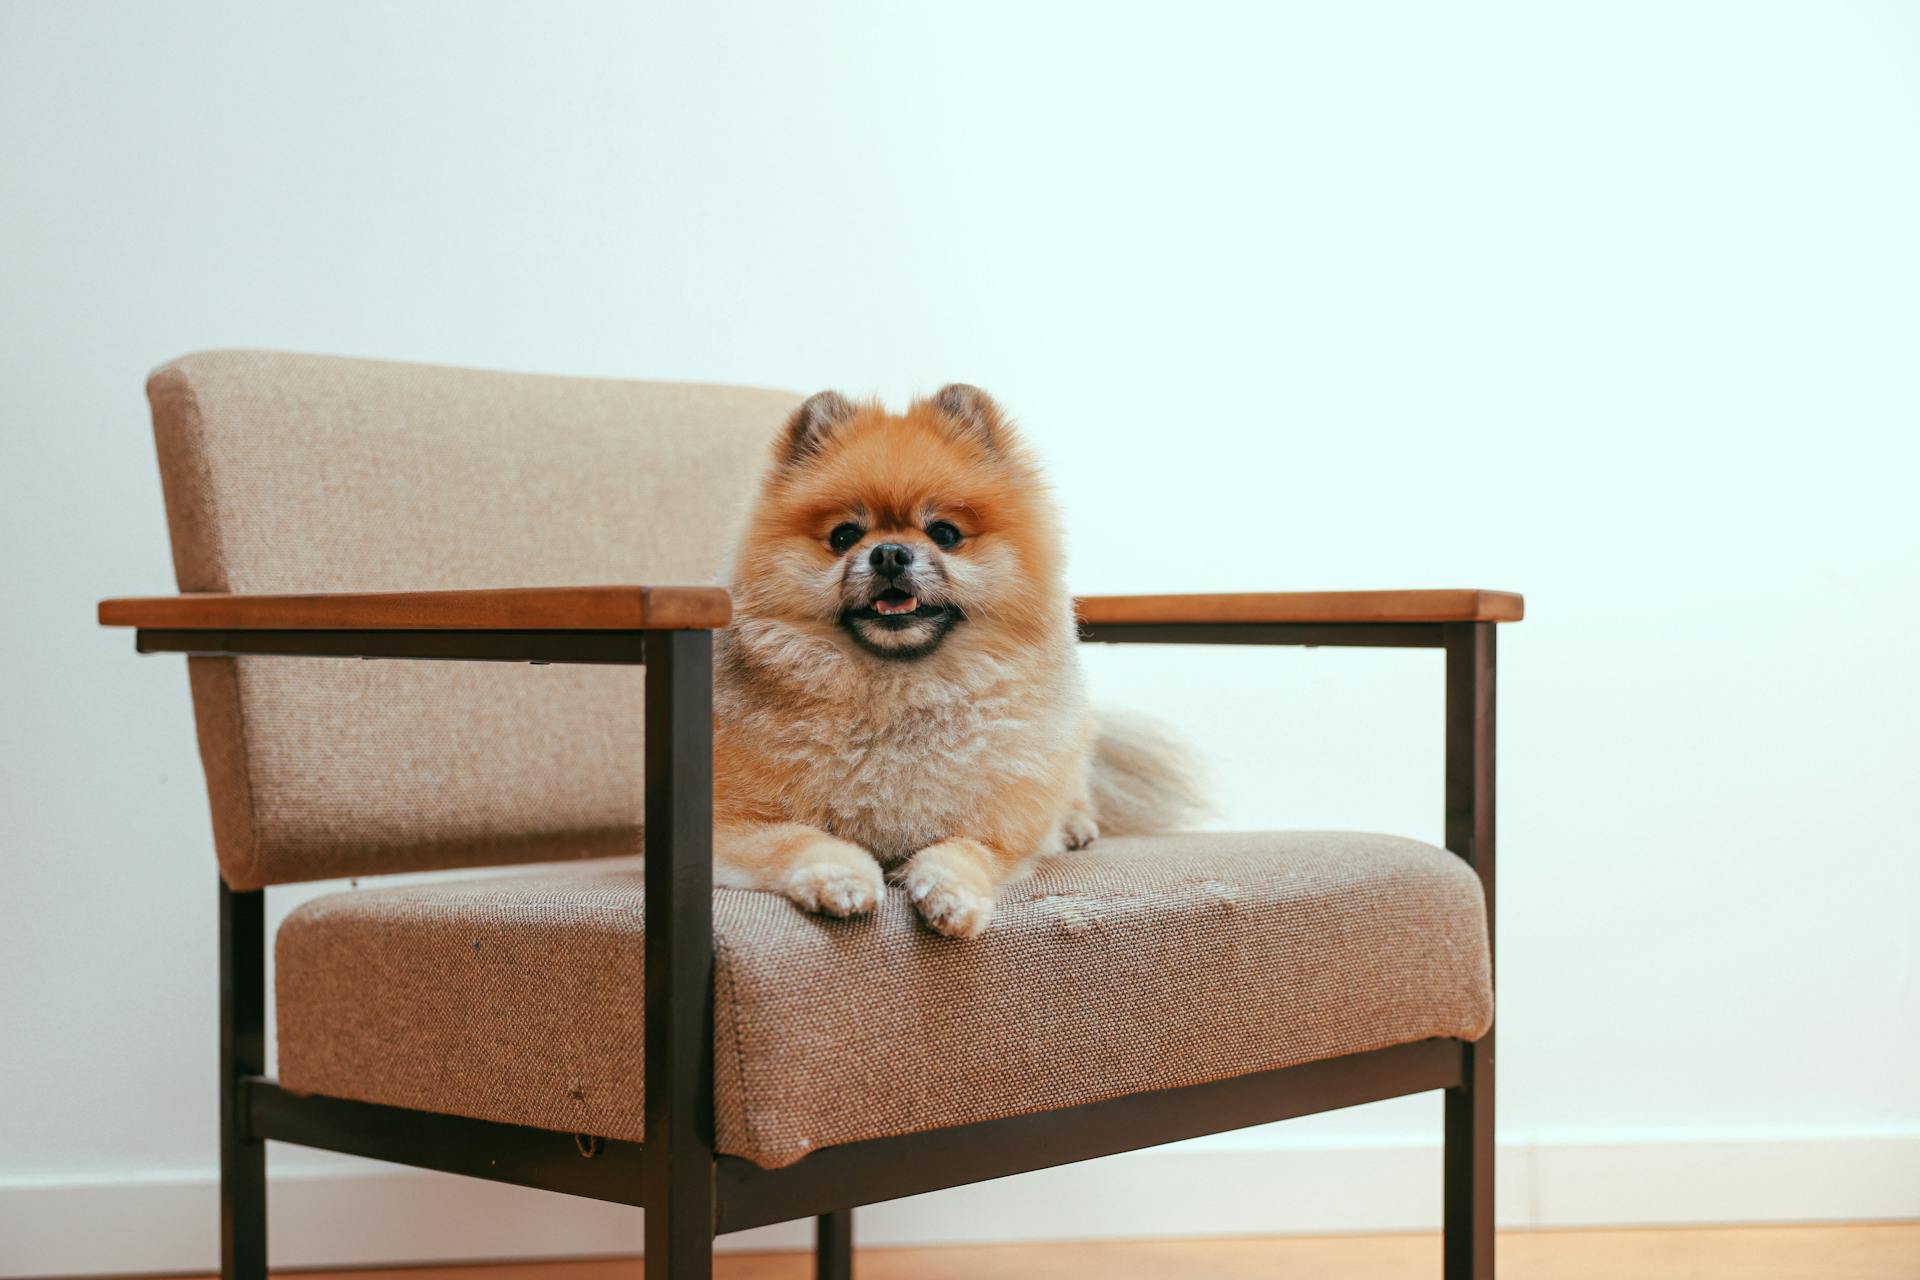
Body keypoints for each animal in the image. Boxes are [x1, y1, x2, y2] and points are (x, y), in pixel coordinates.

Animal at [714, 385, 1198, 936]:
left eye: (944, 533)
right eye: (843, 536)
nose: (889, 553)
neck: (897, 692)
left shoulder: (1001, 829)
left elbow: (966, 850)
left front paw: (952, 892)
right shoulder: (729, 823)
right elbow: (800, 838)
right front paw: (839, 876)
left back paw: (1073, 823)